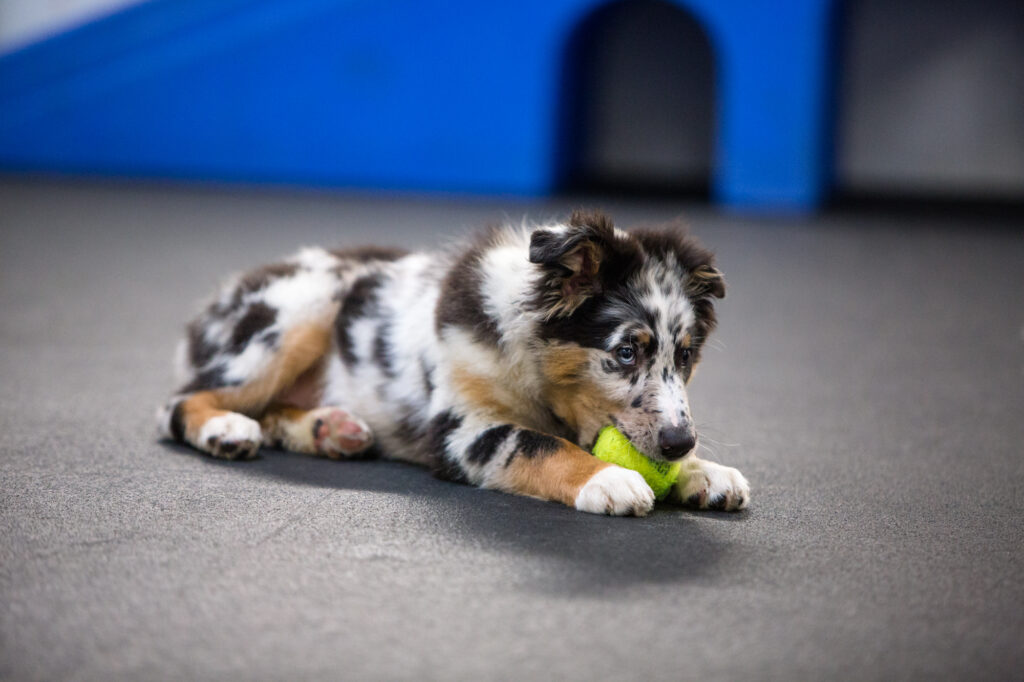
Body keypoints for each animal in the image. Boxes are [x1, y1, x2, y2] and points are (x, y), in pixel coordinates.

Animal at [159, 209, 753, 512]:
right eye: (626, 352)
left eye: (686, 355)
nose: (680, 444)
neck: (530, 362)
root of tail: (221, 297)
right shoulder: (463, 431)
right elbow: (540, 444)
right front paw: (609, 479)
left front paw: (705, 472)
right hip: (297, 310)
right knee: (180, 401)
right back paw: (225, 429)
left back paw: (331, 429)